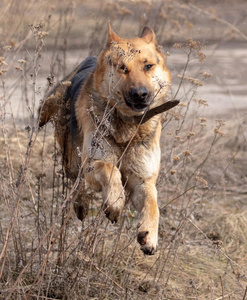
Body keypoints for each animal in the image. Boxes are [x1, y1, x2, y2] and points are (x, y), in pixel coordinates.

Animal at [39, 22, 174, 254]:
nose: (140, 94)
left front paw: (150, 234)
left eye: (148, 66)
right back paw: (81, 205)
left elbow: (153, 205)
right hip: (73, 160)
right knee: (76, 182)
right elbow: (110, 170)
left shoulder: (142, 179)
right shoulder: (94, 163)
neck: (128, 127)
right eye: (123, 68)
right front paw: (115, 203)